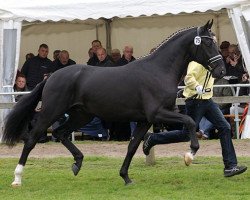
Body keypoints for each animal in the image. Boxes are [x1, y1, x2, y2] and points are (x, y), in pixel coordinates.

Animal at [2, 20, 225, 186]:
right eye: (207, 43)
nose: (221, 70)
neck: (158, 71)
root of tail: (51, 77)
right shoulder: (157, 113)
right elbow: (190, 122)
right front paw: (190, 155)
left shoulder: (145, 120)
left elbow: (133, 146)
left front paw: (126, 177)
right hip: (52, 111)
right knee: (32, 139)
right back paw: (17, 178)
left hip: (82, 115)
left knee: (60, 133)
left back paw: (77, 163)